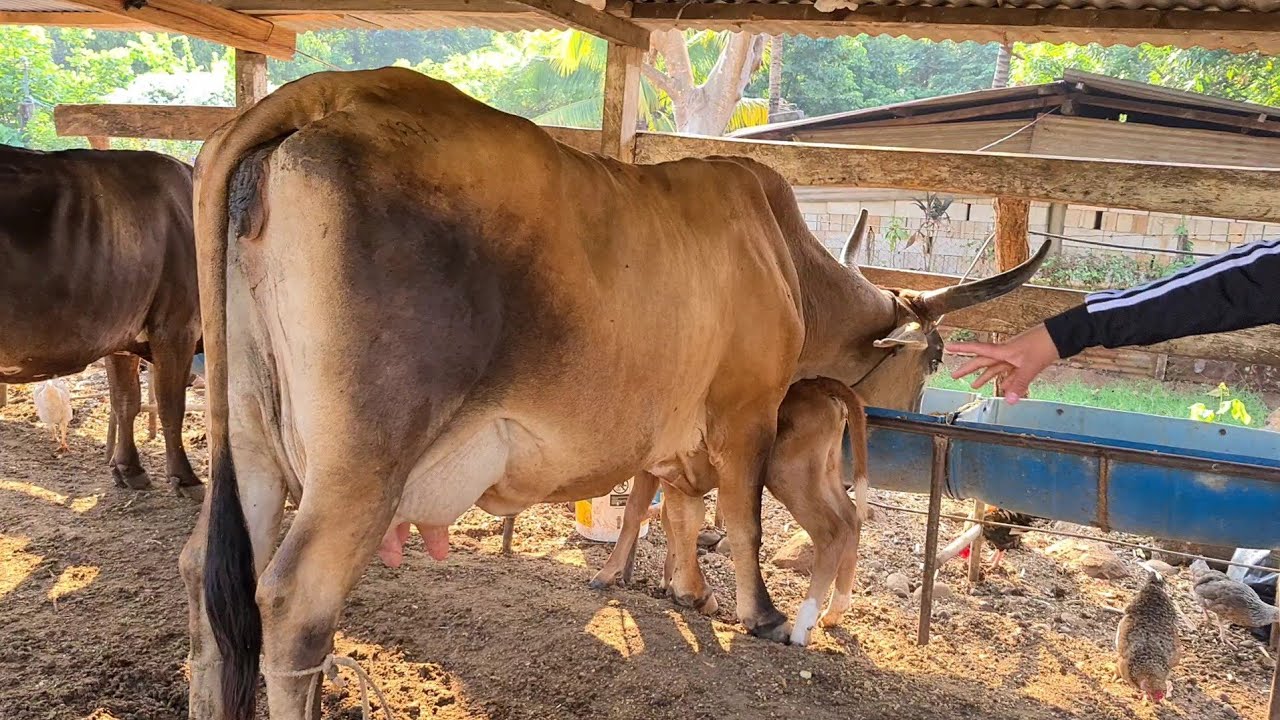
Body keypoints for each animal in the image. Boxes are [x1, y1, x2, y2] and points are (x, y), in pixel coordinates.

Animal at [0, 144, 203, 500]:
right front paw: (186, 477)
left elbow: (126, 402)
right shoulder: (177, 326)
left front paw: (129, 469)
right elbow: (170, 404)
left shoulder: (121, 337)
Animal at [180, 68, 1046, 719]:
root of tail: (327, 94)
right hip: (363, 460)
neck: (787, 259)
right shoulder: (744, 412)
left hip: (247, 437)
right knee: (293, 603)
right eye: (936, 356)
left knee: (207, 584)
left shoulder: (679, 433)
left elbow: (683, 509)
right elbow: (742, 517)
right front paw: (760, 613)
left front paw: (687, 591)